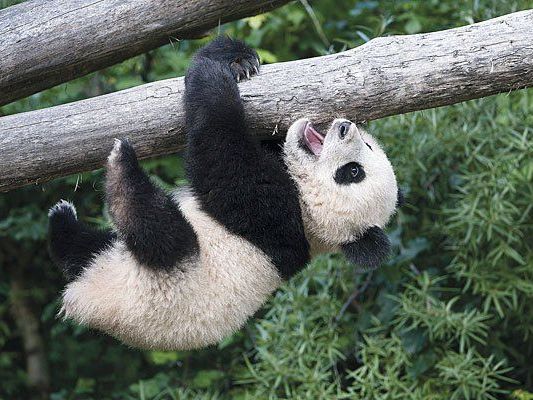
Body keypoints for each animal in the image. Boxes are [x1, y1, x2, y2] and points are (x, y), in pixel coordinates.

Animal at [48, 36, 400, 350]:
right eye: (367, 148)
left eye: (353, 172)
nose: (344, 127)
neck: (311, 215)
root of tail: (89, 303)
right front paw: (240, 59)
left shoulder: (274, 215)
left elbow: (220, 156)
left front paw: (213, 70)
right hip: (115, 259)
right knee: (88, 247)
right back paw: (63, 221)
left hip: (165, 284)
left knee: (158, 229)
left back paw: (121, 168)